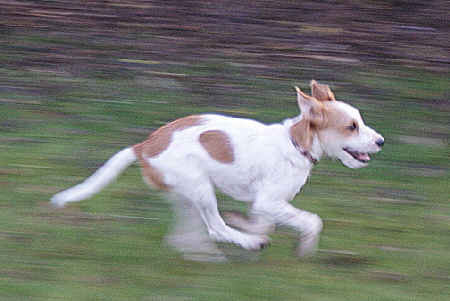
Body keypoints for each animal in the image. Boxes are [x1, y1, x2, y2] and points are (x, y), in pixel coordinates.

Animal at [51, 80, 384, 260]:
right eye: (351, 127)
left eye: (360, 121)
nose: (381, 141)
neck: (294, 143)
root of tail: (143, 147)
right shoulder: (269, 200)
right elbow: (311, 221)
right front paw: (303, 250)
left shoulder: (266, 204)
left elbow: (264, 222)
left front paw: (248, 225)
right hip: (200, 189)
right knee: (214, 227)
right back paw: (246, 244)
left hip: (186, 196)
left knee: (183, 237)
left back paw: (206, 255)